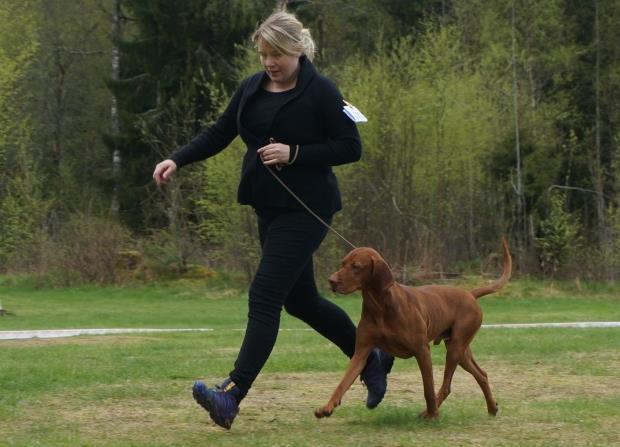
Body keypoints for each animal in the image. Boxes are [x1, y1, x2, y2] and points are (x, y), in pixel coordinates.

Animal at [318, 240, 512, 418]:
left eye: (356, 266)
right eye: (343, 263)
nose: (331, 281)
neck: (380, 307)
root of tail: (470, 294)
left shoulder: (422, 350)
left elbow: (428, 388)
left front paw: (432, 413)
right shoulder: (361, 352)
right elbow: (342, 383)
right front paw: (326, 408)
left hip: (456, 348)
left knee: (446, 386)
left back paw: (431, 412)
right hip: (460, 351)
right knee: (482, 375)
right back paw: (492, 408)